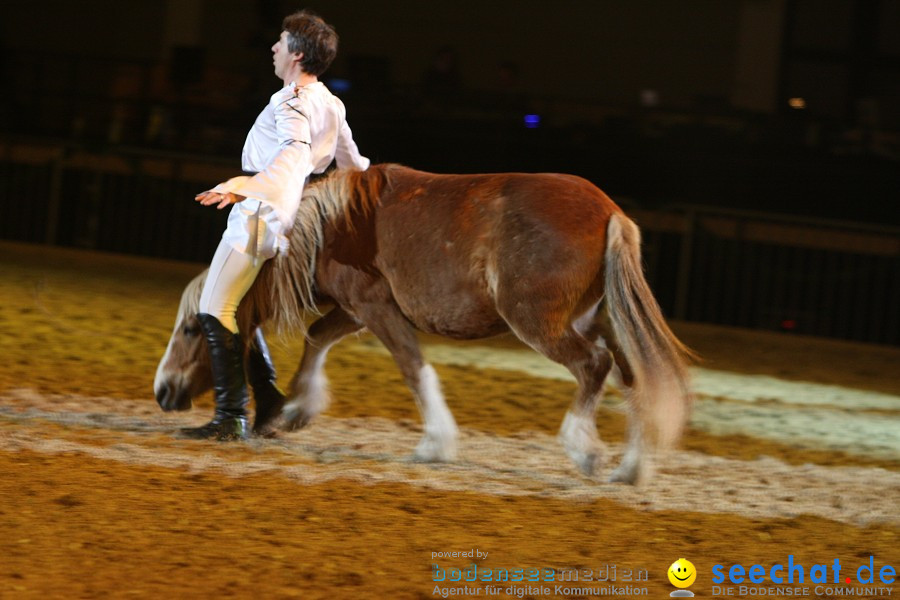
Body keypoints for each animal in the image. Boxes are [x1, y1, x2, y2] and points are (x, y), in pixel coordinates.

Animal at [155, 164, 692, 482]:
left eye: (191, 330)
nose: (162, 391)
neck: (333, 223)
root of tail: (611, 213)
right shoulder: (355, 309)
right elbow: (316, 338)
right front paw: (297, 408)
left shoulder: (376, 308)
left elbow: (413, 367)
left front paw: (436, 443)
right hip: (594, 319)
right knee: (631, 376)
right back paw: (632, 466)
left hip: (540, 323)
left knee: (594, 366)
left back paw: (583, 448)